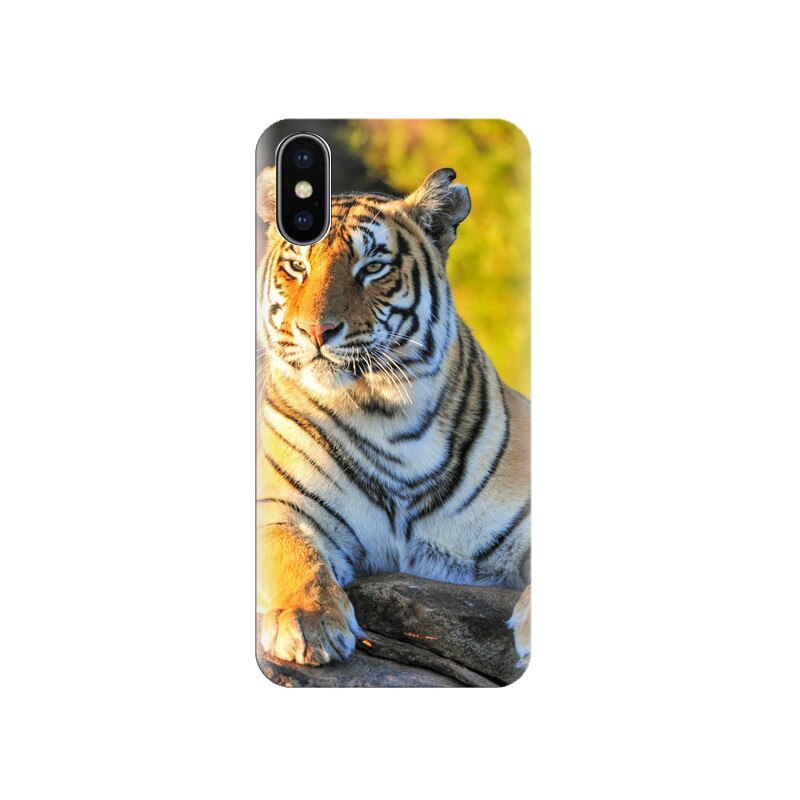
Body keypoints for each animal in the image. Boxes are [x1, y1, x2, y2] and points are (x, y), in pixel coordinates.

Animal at [256, 165, 531, 675]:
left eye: (372, 268)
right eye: (297, 267)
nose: (315, 331)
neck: (385, 416)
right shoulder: (280, 506)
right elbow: (292, 554)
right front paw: (307, 622)